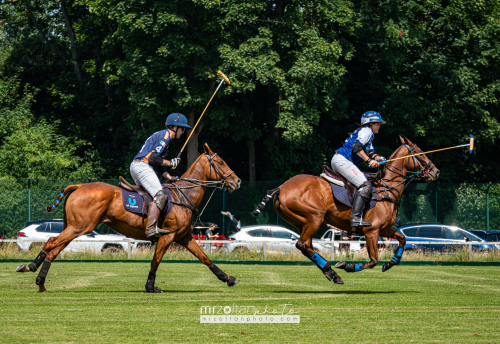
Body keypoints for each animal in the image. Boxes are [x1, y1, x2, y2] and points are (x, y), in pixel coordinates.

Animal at [16, 144, 242, 292]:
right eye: (220, 162)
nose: (237, 181)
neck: (182, 196)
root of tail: (78, 186)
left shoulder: (184, 236)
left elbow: (204, 257)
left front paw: (228, 278)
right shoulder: (167, 236)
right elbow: (155, 261)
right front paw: (150, 287)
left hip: (73, 226)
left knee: (54, 247)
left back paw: (33, 272)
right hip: (80, 226)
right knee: (51, 242)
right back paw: (36, 276)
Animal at [254, 137, 438, 284]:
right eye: (420, 154)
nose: (436, 171)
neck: (387, 189)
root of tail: (281, 187)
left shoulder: (384, 229)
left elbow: (402, 239)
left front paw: (390, 263)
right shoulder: (372, 230)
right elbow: (373, 260)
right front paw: (347, 266)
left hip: (302, 222)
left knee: (307, 246)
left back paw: (331, 273)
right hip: (315, 218)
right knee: (303, 244)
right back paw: (332, 271)